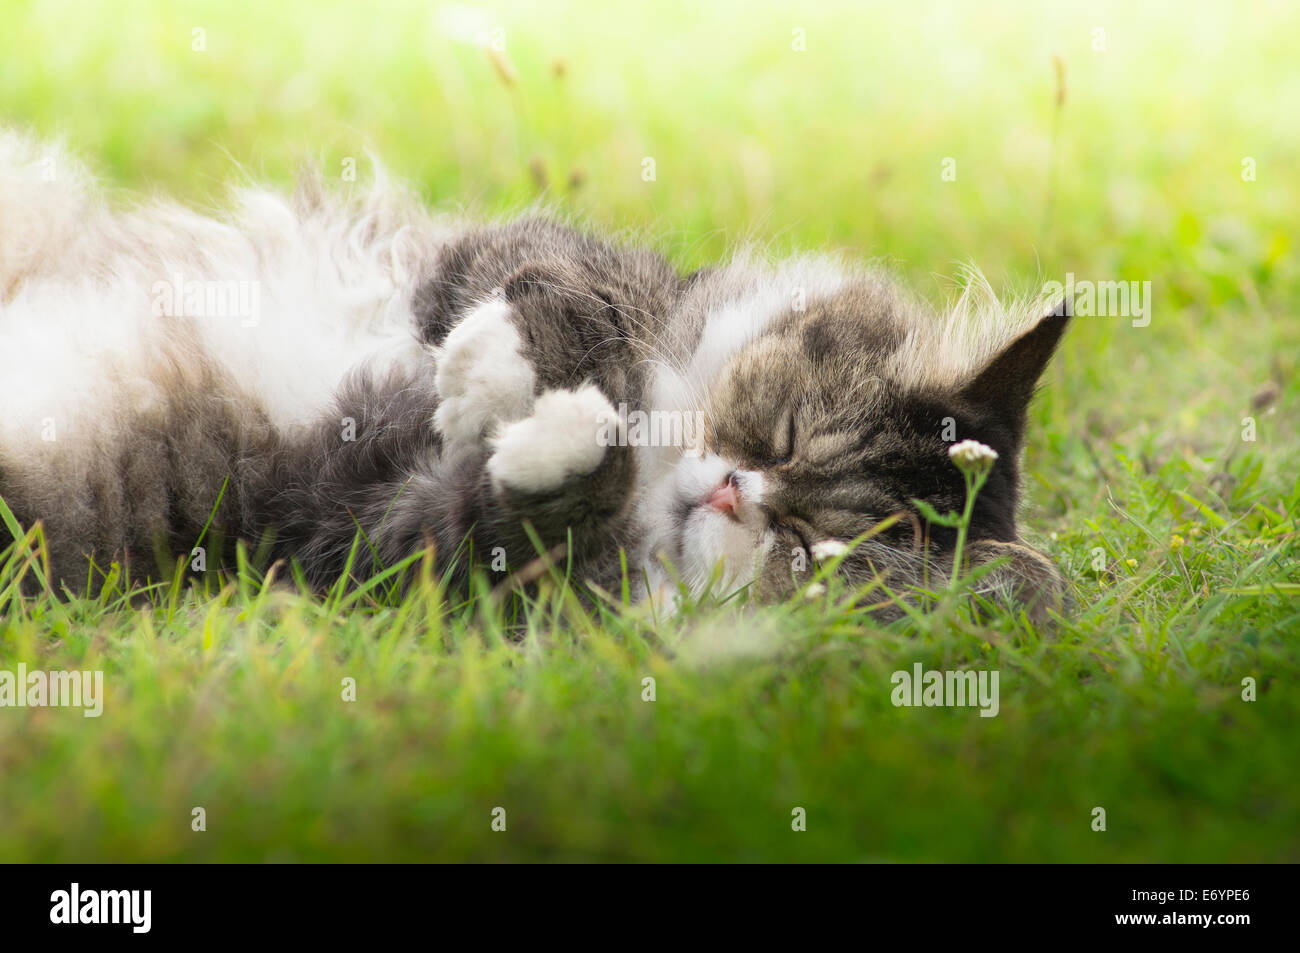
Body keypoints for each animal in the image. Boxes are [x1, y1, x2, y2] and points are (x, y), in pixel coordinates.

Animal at [0, 128, 1066, 616]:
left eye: (806, 551)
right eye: (785, 437)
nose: (733, 490)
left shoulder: (371, 535)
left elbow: (527, 502)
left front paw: (550, 432)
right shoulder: (498, 255)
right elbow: (569, 302)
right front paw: (498, 368)